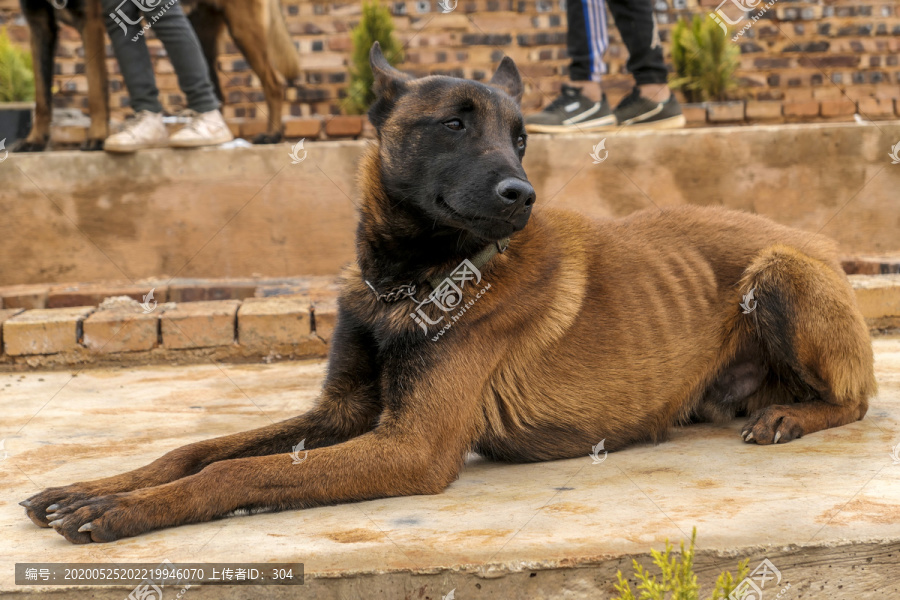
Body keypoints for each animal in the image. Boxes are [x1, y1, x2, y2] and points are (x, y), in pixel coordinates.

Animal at [21, 43, 880, 544]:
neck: (409, 280)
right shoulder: (342, 415)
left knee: (856, 400)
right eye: (454, 125)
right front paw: (94, 487)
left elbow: (236, 474)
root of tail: (819, 245)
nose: (522, 194)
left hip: (781, 274)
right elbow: (195, 450)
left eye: (522, 136)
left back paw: (790, 416)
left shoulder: (409, 448)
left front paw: (120, 512)